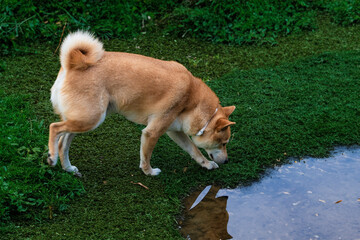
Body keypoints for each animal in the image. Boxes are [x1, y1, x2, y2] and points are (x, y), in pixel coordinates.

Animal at [46, 30, 235, 176]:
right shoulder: (152, 133)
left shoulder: (174, 131)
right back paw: (52, 158)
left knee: (63, 143)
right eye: (224, 143)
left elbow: (194, 150)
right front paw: (149, 172)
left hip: (83, 121)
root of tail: (74, 64)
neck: (192, 99)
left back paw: (68, 168)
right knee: (54, 127)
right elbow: (146, 157)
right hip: (91, 119)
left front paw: (206, 164)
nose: (227, 161)